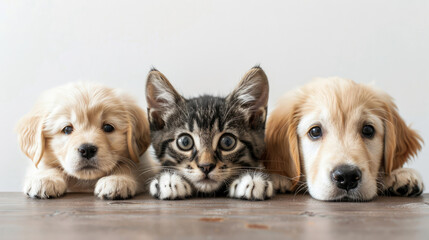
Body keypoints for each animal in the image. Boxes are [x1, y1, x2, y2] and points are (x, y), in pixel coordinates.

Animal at [17, 83, 154, 200]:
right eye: (67, 129)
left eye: (108, 127)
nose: (87, 150)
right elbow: (46, 166)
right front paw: (45, 179)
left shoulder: (142, 164)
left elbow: (129, 165)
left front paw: (117, 180)